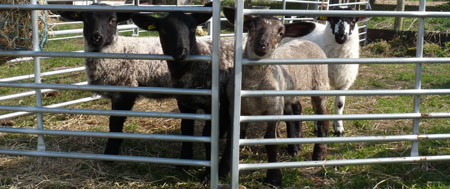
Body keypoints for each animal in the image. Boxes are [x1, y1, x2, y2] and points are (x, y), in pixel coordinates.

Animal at [222, 6, 330, 185]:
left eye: (281, 32)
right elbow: (232, 138)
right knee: (297, 109)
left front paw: (274, 176)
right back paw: (295, 145)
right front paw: (221, 170)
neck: (254, 84)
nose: (262, 45)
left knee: (323, 119)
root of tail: (308, 41)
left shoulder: (274, 109)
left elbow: (271, 141)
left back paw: (319, 154)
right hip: (291, 91)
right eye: (251, 25)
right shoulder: (236, 108)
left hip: (320, 86)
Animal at [282, 5, 370, 136]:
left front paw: (339, 128)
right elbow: (319, 105)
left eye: (353, 21)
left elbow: (339, 105)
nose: (341, 36)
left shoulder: (343, 83)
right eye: (332, 20)